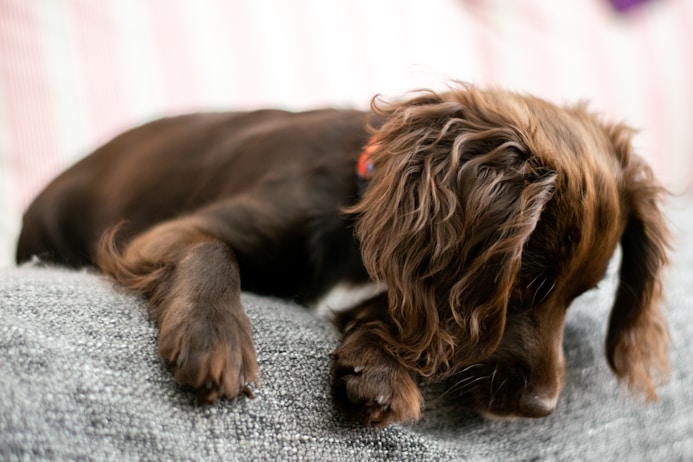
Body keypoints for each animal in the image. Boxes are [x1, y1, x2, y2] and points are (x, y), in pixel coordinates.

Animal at [16, 84, 668, 426]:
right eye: (522, 285)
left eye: (582, 296)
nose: (541, 409)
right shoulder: (163, 235)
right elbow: (210, 249)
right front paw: (214, 337)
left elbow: (399, 309)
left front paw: (376, 367)